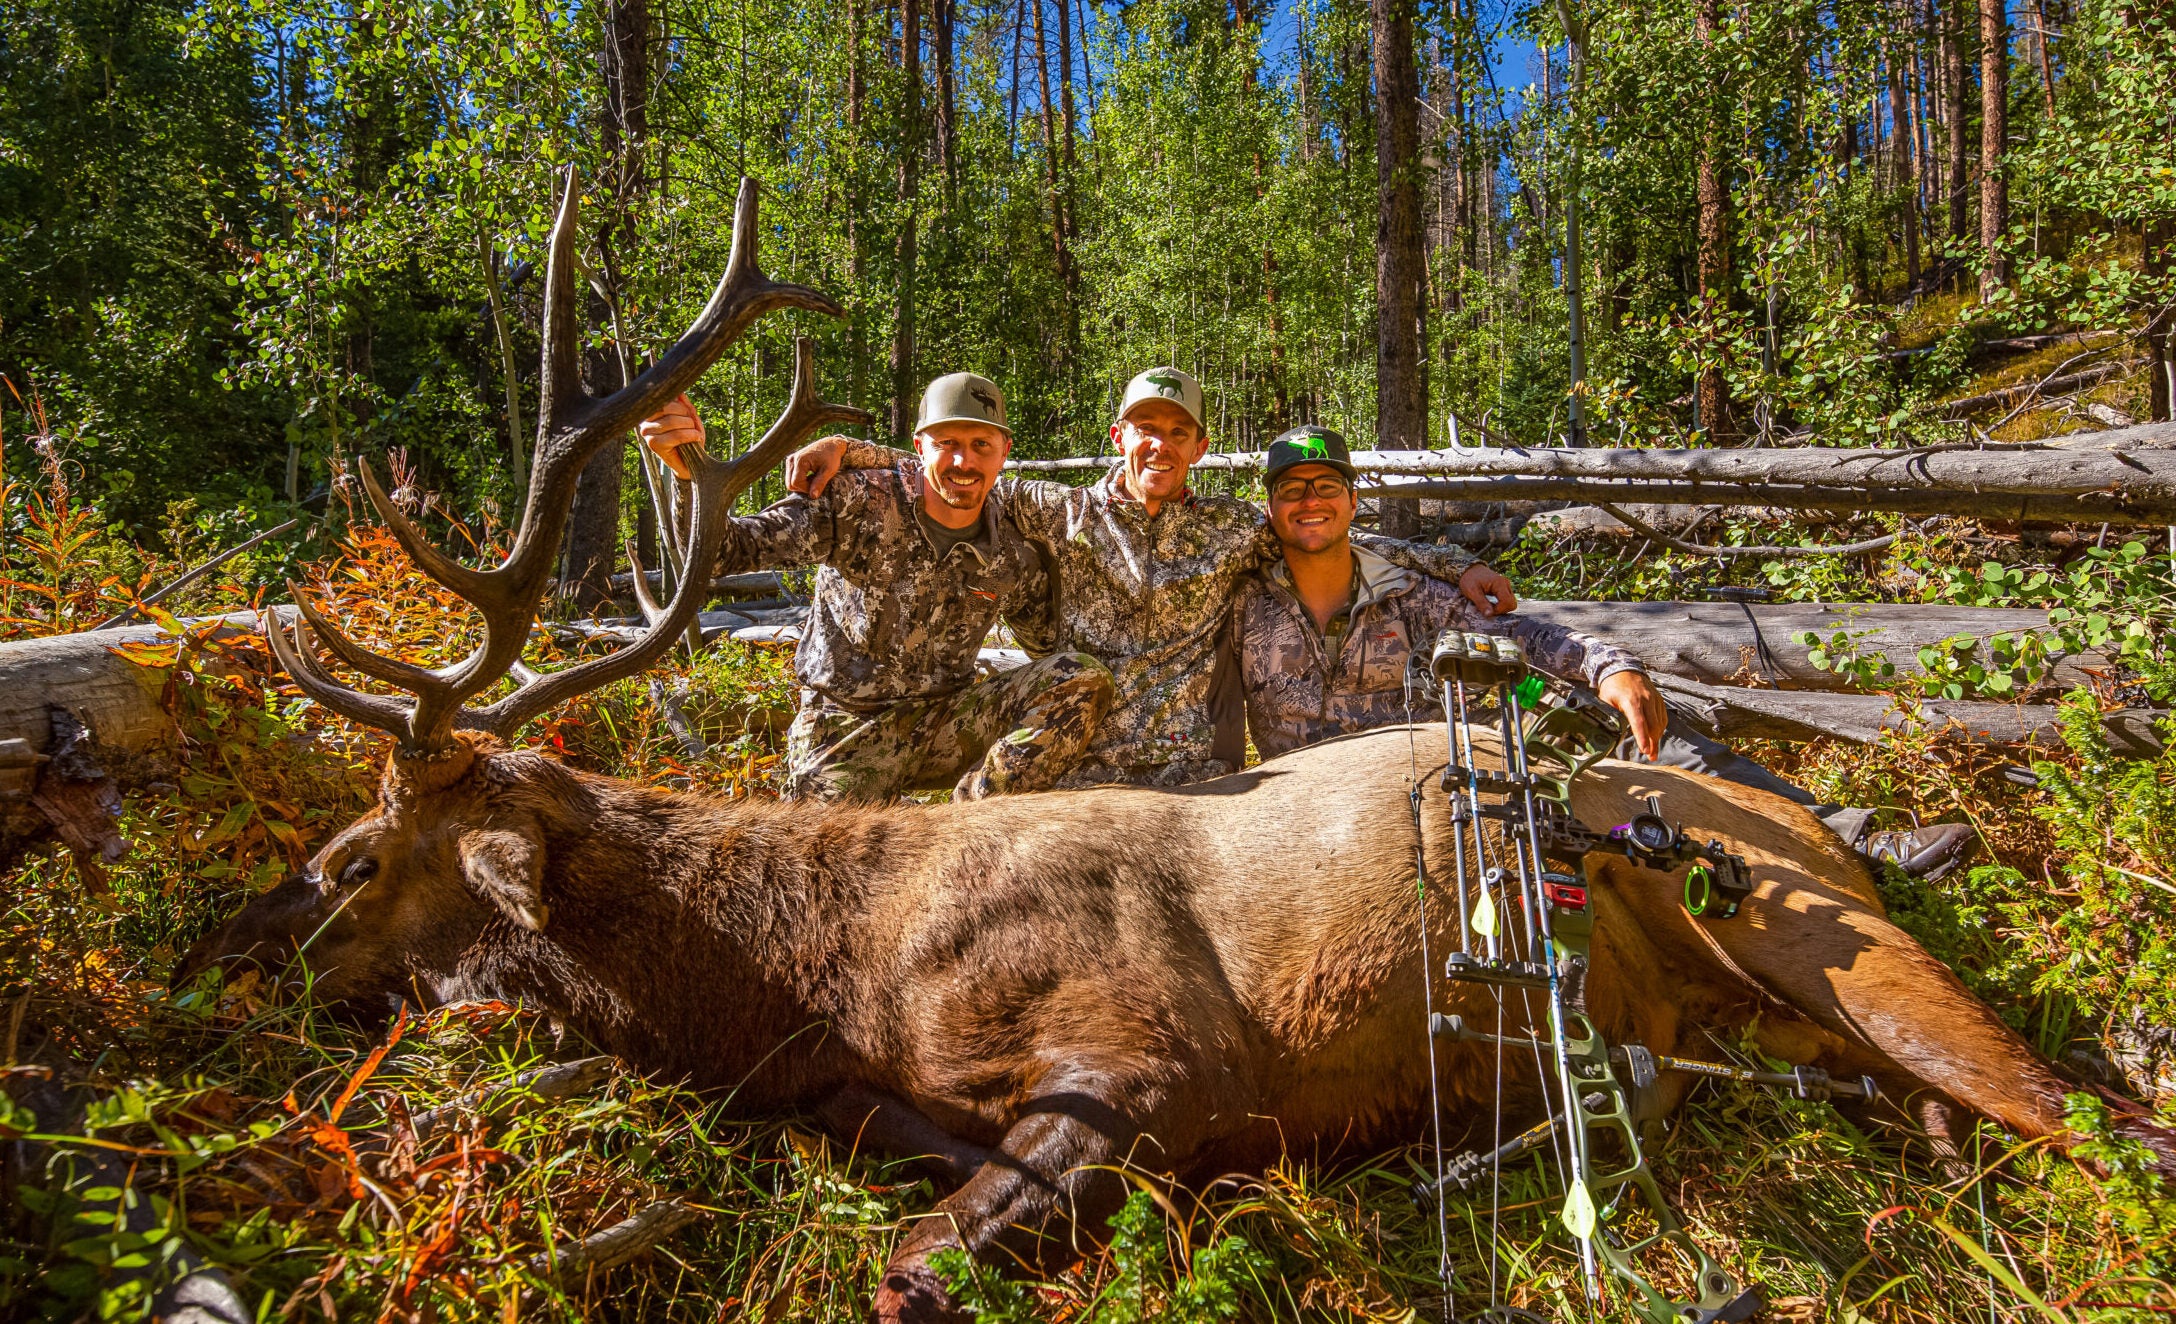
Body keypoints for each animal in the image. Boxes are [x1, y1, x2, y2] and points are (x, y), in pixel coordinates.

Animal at [178, 175, 2176, 1323]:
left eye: (356, 854)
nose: (225, 939)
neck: (822, 982)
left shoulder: (1148, 1059)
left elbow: (907, 1279)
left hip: (1809, 921)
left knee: (2085, 1099)